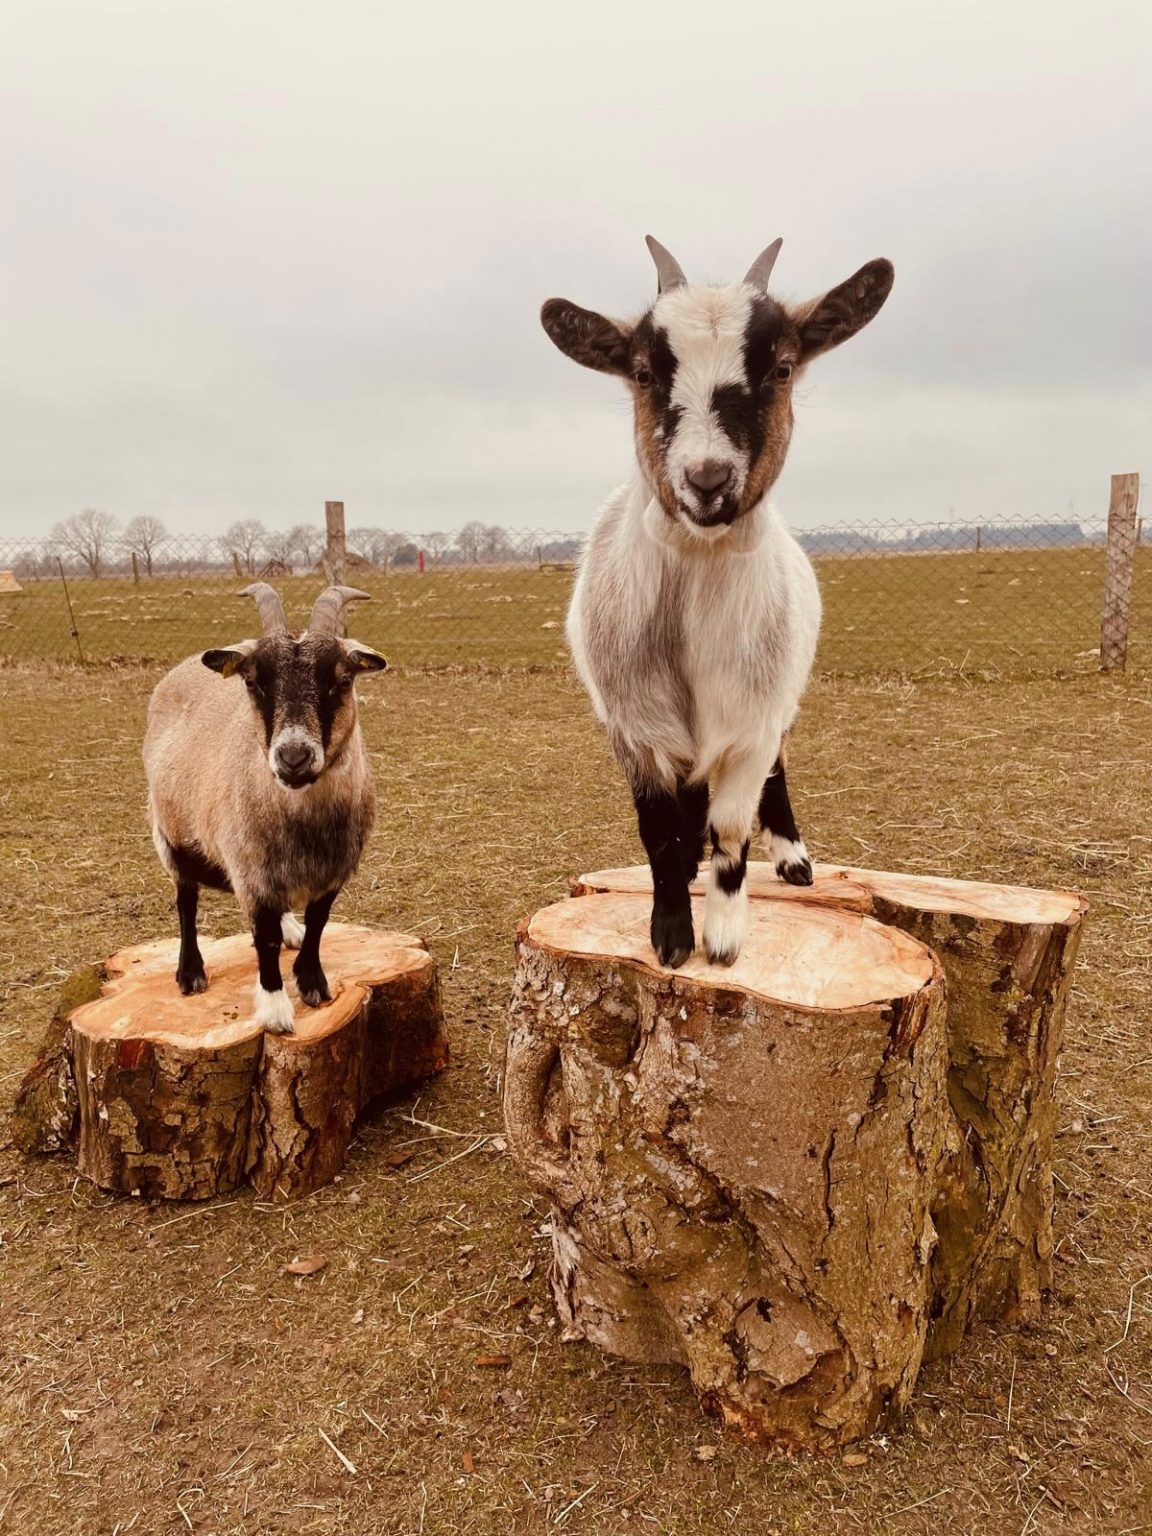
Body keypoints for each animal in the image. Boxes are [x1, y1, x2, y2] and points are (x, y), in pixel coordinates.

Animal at [143, 583, 387, 1033]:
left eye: (343, 680)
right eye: (253, 682)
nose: (293, 758)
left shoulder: (333, 872)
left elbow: (318, 923)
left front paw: (312, 982)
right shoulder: (250, 871)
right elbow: (264, 939)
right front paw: (275, 1009)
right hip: (170, 834)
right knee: (186, 900)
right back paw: (190, 972)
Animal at [542, 236, 894, 967]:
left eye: (782, 367)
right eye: (643, 373)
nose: (707, 479)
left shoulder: (751, 720)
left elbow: (733, 827)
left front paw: (725, 936)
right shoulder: (635, 726)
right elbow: (658, 828)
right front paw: (671, 931)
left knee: (774, 775)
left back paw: (792, 859)